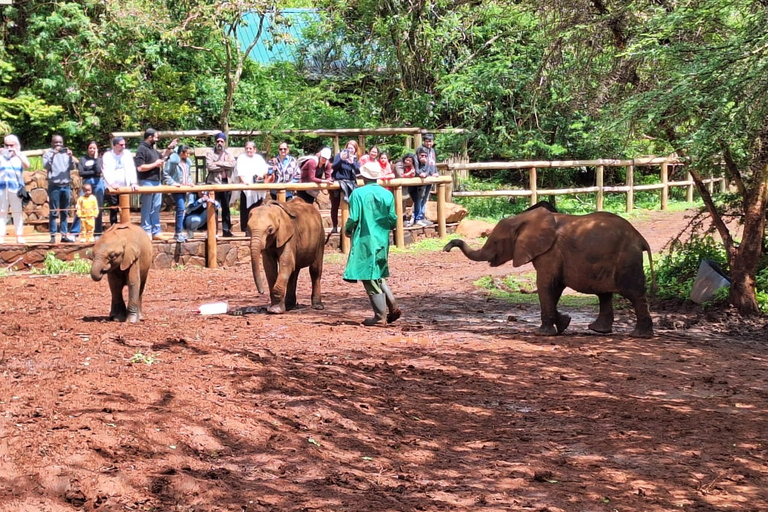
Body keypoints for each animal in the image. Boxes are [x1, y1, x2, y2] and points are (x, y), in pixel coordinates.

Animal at [444, 206, 656, 338]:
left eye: (496, 242)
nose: (446, 247)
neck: (523, 219)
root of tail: (640, 238)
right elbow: (555, 287)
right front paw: (564, 324)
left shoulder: (550, 252)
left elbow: (546, 285)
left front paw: (543, 333)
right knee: (605, 294)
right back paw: (599, 330)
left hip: (627, 260)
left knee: (634, 293)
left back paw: (640, 335)